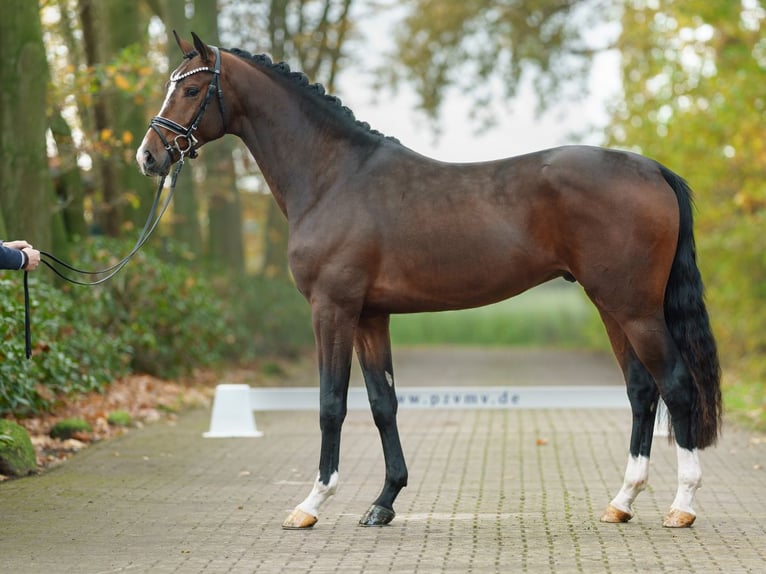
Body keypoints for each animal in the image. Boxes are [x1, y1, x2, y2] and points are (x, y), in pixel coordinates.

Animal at [135, 33, 724, 532]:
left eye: (191, 88)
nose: (149, 156)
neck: (333, 177)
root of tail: (652, 169)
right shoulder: (371, 316)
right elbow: (382, 404)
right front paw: (383, 502)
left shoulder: (332, 308)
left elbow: (331, 404)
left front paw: (311, 504)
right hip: (611, 305)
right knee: (642, 390)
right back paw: (622, 502)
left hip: (635, 308)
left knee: (675, 384)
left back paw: (682, 507)